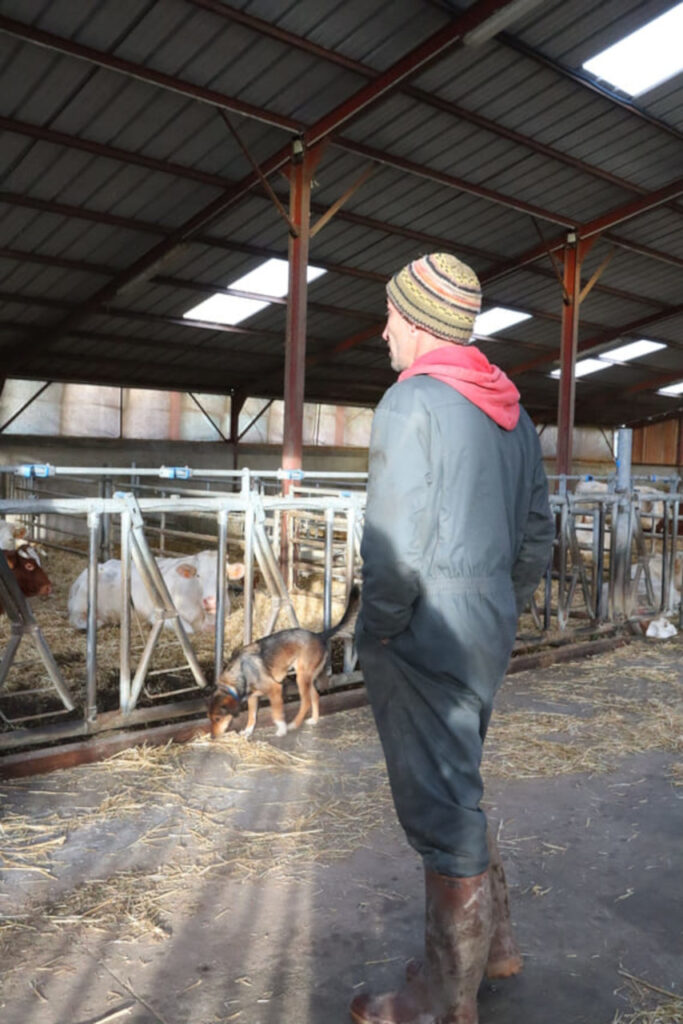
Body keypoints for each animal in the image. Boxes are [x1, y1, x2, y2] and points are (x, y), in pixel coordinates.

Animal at [66, 552, 246, 630]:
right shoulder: (160, 616)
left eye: (224, 575)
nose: (210, 600)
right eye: (198, 575)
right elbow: (189, 630)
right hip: (81, 607)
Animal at [206, 589, 358, 741]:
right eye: (210, 718)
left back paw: (294, 724)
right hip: (307, 678)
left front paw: (281, 729)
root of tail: (318, 635)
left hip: (301, 678)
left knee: (306, 701)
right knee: (315, 696)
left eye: (218, 718)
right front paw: (248, 731)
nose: (212, 737)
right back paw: (313, 720)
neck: (240, 674)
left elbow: (276, 713)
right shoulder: (253, 697)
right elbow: (251, 716)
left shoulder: (275, 689)